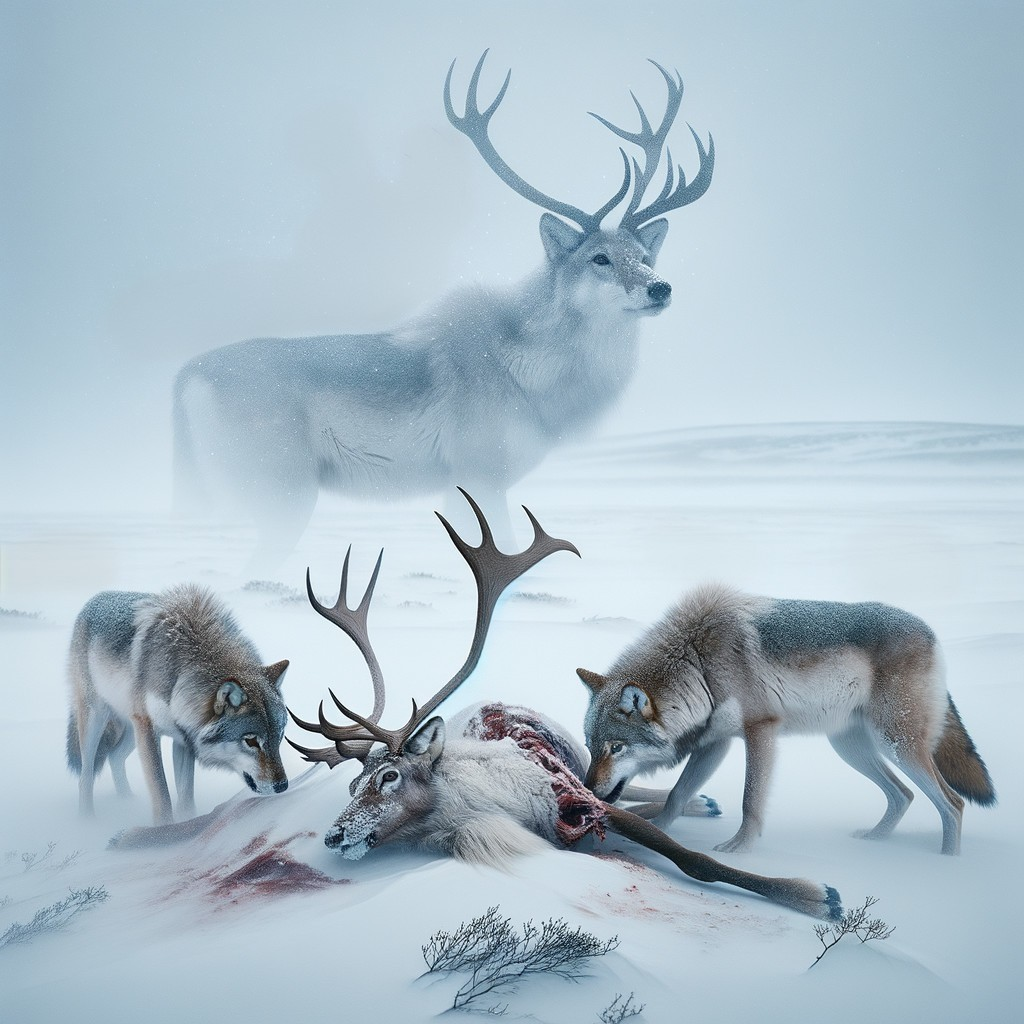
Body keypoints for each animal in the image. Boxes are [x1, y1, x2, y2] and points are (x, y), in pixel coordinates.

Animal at [66, 585, 290, 824]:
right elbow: (162, 795)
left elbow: (185, 798)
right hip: (97, 720)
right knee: (86, 775)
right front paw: (163, 831)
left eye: (279, 736)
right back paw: (87, 822)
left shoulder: (184, 739)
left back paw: (127, 801)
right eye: (251, 741)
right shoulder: (148, 729)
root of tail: (96, 597)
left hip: (131, 731)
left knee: (114, 757)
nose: (283, 786)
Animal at [172, 53, 714, 570]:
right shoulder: (480, 470)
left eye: (645, 257)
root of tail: (185, 377)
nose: (661, 288)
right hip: (280, 489)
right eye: (599, 258)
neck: (535, 379)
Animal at [577, 583, 996, 855]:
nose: (588, 788)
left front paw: (739, 850)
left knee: (952, 804)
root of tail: (932, 634)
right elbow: (678, 795)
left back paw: (945, 866)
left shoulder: (760, 730)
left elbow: (750, 800)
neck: (698, 663)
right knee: (903, 794)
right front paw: (655, 832)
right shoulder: (716, 741)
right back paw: (876, 842)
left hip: (897, 745)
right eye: (592, 747)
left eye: (617, 748)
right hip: (850, 748)